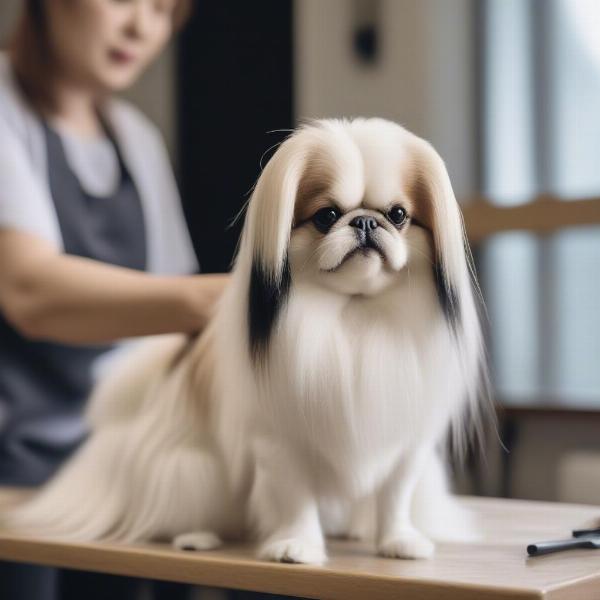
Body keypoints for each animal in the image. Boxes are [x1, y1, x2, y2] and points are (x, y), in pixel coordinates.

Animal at [8, 117, 488, 564]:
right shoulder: (281, 440)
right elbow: (295, 496)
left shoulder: (406, 442)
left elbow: (394, 496)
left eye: (398, 215)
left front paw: (398, 541)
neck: (352, 315)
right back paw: (195, 537)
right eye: (327, 216)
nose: (367, 221)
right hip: (191, 469)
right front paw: (297, 546)